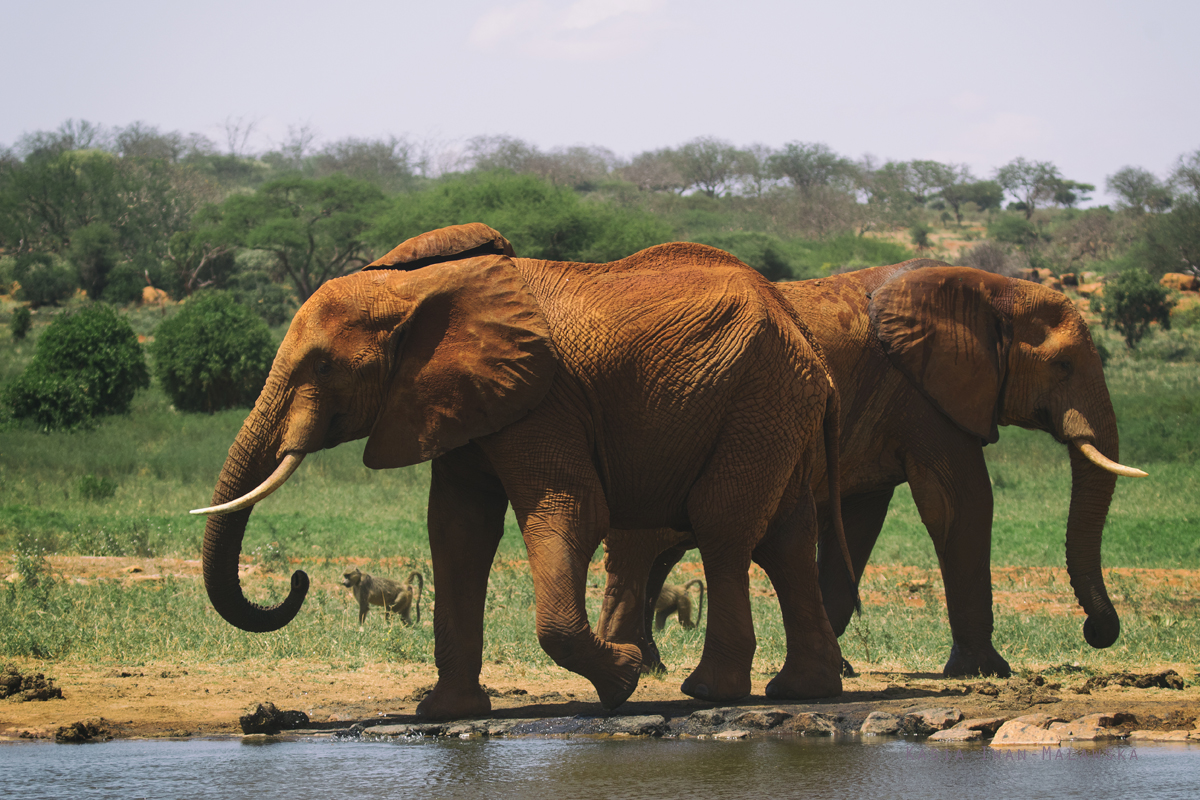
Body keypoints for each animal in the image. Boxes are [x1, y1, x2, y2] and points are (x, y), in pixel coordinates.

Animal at [194, 224, 844, 719]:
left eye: (324, 366)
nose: (298, 579)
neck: (415, 292)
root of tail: (798, 323)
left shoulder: (544, 399)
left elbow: (571, 511)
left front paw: (624, 678)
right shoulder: (460, 398)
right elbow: (458, 530)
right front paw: (444, 713)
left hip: (760, 397)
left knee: (723, 526)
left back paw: (709, 692)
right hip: (777, 405)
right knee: (787, 538)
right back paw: (802, 691)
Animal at [600, 260, 1142, 681]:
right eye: (1063, 365)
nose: (1095, 631)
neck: (988, 288)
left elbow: (857, 524)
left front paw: (838, 669)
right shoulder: (922, 395)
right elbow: (961, 504)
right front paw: (987, 671)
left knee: (663, 549)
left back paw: (651, 666)